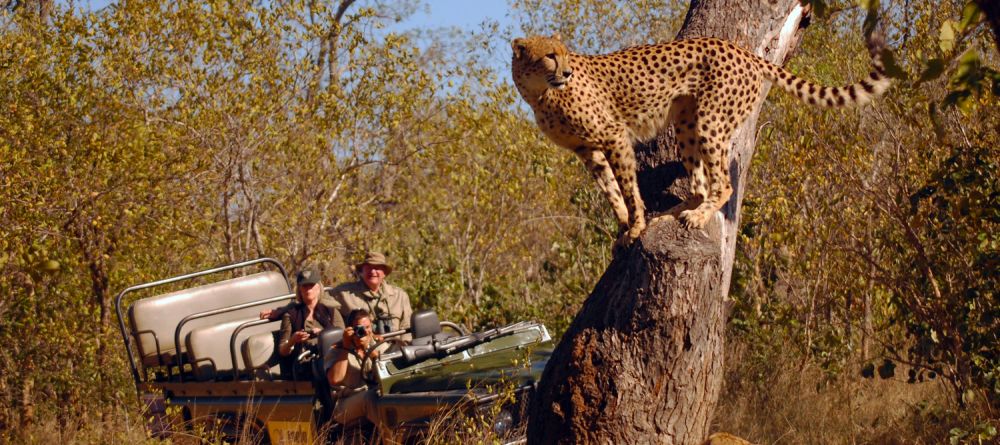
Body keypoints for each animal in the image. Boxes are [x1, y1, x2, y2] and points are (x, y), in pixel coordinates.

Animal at [512, 33, 888, 245]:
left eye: (564, 53)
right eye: (550, 55)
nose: (566, 71)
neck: (541, 94)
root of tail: (742, 50)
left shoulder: (614, 136)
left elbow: (629, 190)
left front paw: (635, 227)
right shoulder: (586, 149)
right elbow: (611, 192)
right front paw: (622, 228)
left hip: (710, 122)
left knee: (723, 185)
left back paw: (698, 216)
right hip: (685, 122)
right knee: (699, 185)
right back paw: (678, 210)